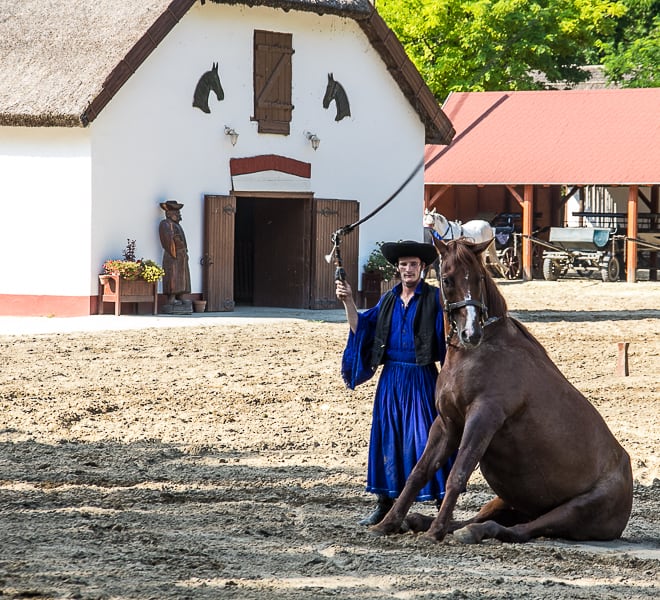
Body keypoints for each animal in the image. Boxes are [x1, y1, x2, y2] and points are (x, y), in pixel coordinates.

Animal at [372, 239, 636, 544]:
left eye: (479, 277)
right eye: (447, 279)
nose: (471, 334)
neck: (479, 352)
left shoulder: (483, 418)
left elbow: (457, 474)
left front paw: (433, 532)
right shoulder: (447, 423)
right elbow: (419, 472)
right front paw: (388, 523)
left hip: (574, 511)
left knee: (520, 530)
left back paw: (470, 532)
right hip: (506, 501)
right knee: (485, 518)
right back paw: (423, 521)